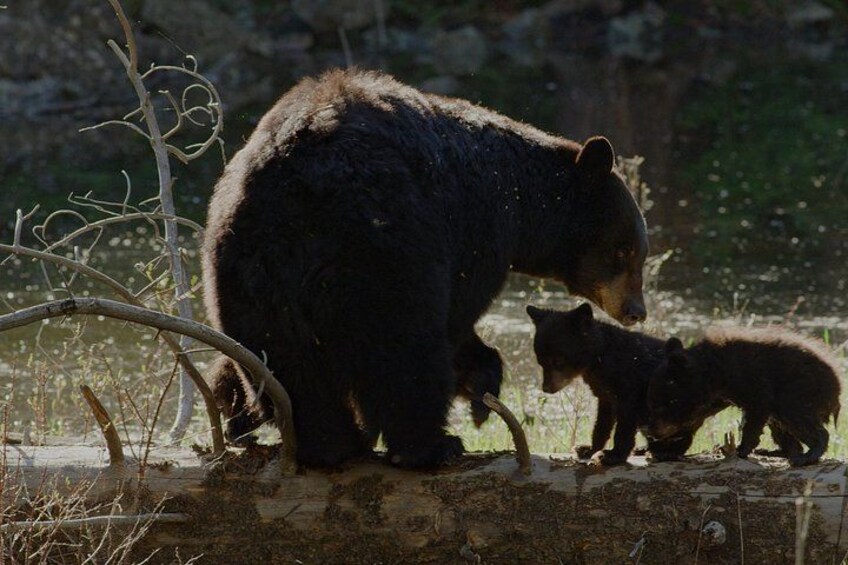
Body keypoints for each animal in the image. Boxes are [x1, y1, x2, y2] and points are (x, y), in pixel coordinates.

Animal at [202, 69, 648, 468]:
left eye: (637, 252)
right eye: (624, 251)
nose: (636, 311)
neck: (520, 200)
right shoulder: (477, 229)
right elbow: (457, 316)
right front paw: (479, 385)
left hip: (247, 276)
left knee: (289, 365)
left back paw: (328, 444)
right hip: (384, 255)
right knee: (405, 352)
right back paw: (428, 446)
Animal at [526, 303, 723, 465]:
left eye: (558, 362)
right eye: (540, 362)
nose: (546, 388)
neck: (599, 358)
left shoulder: (629, 387)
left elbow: (625, 423)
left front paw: (613, 455)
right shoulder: (603, 391)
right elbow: (602, 422)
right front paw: (588, 449)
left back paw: (666, 452)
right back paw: (645, 448)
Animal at [647, 329, 842, 466]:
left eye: (663, 403)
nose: (651, 432)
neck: (716, 375)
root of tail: (837, 389)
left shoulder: (753, 380)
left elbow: (756, 413)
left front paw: (741, 449)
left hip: (801, 390)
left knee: (797, 416)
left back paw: (806, 456)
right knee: (781, 427)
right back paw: (776, 451)